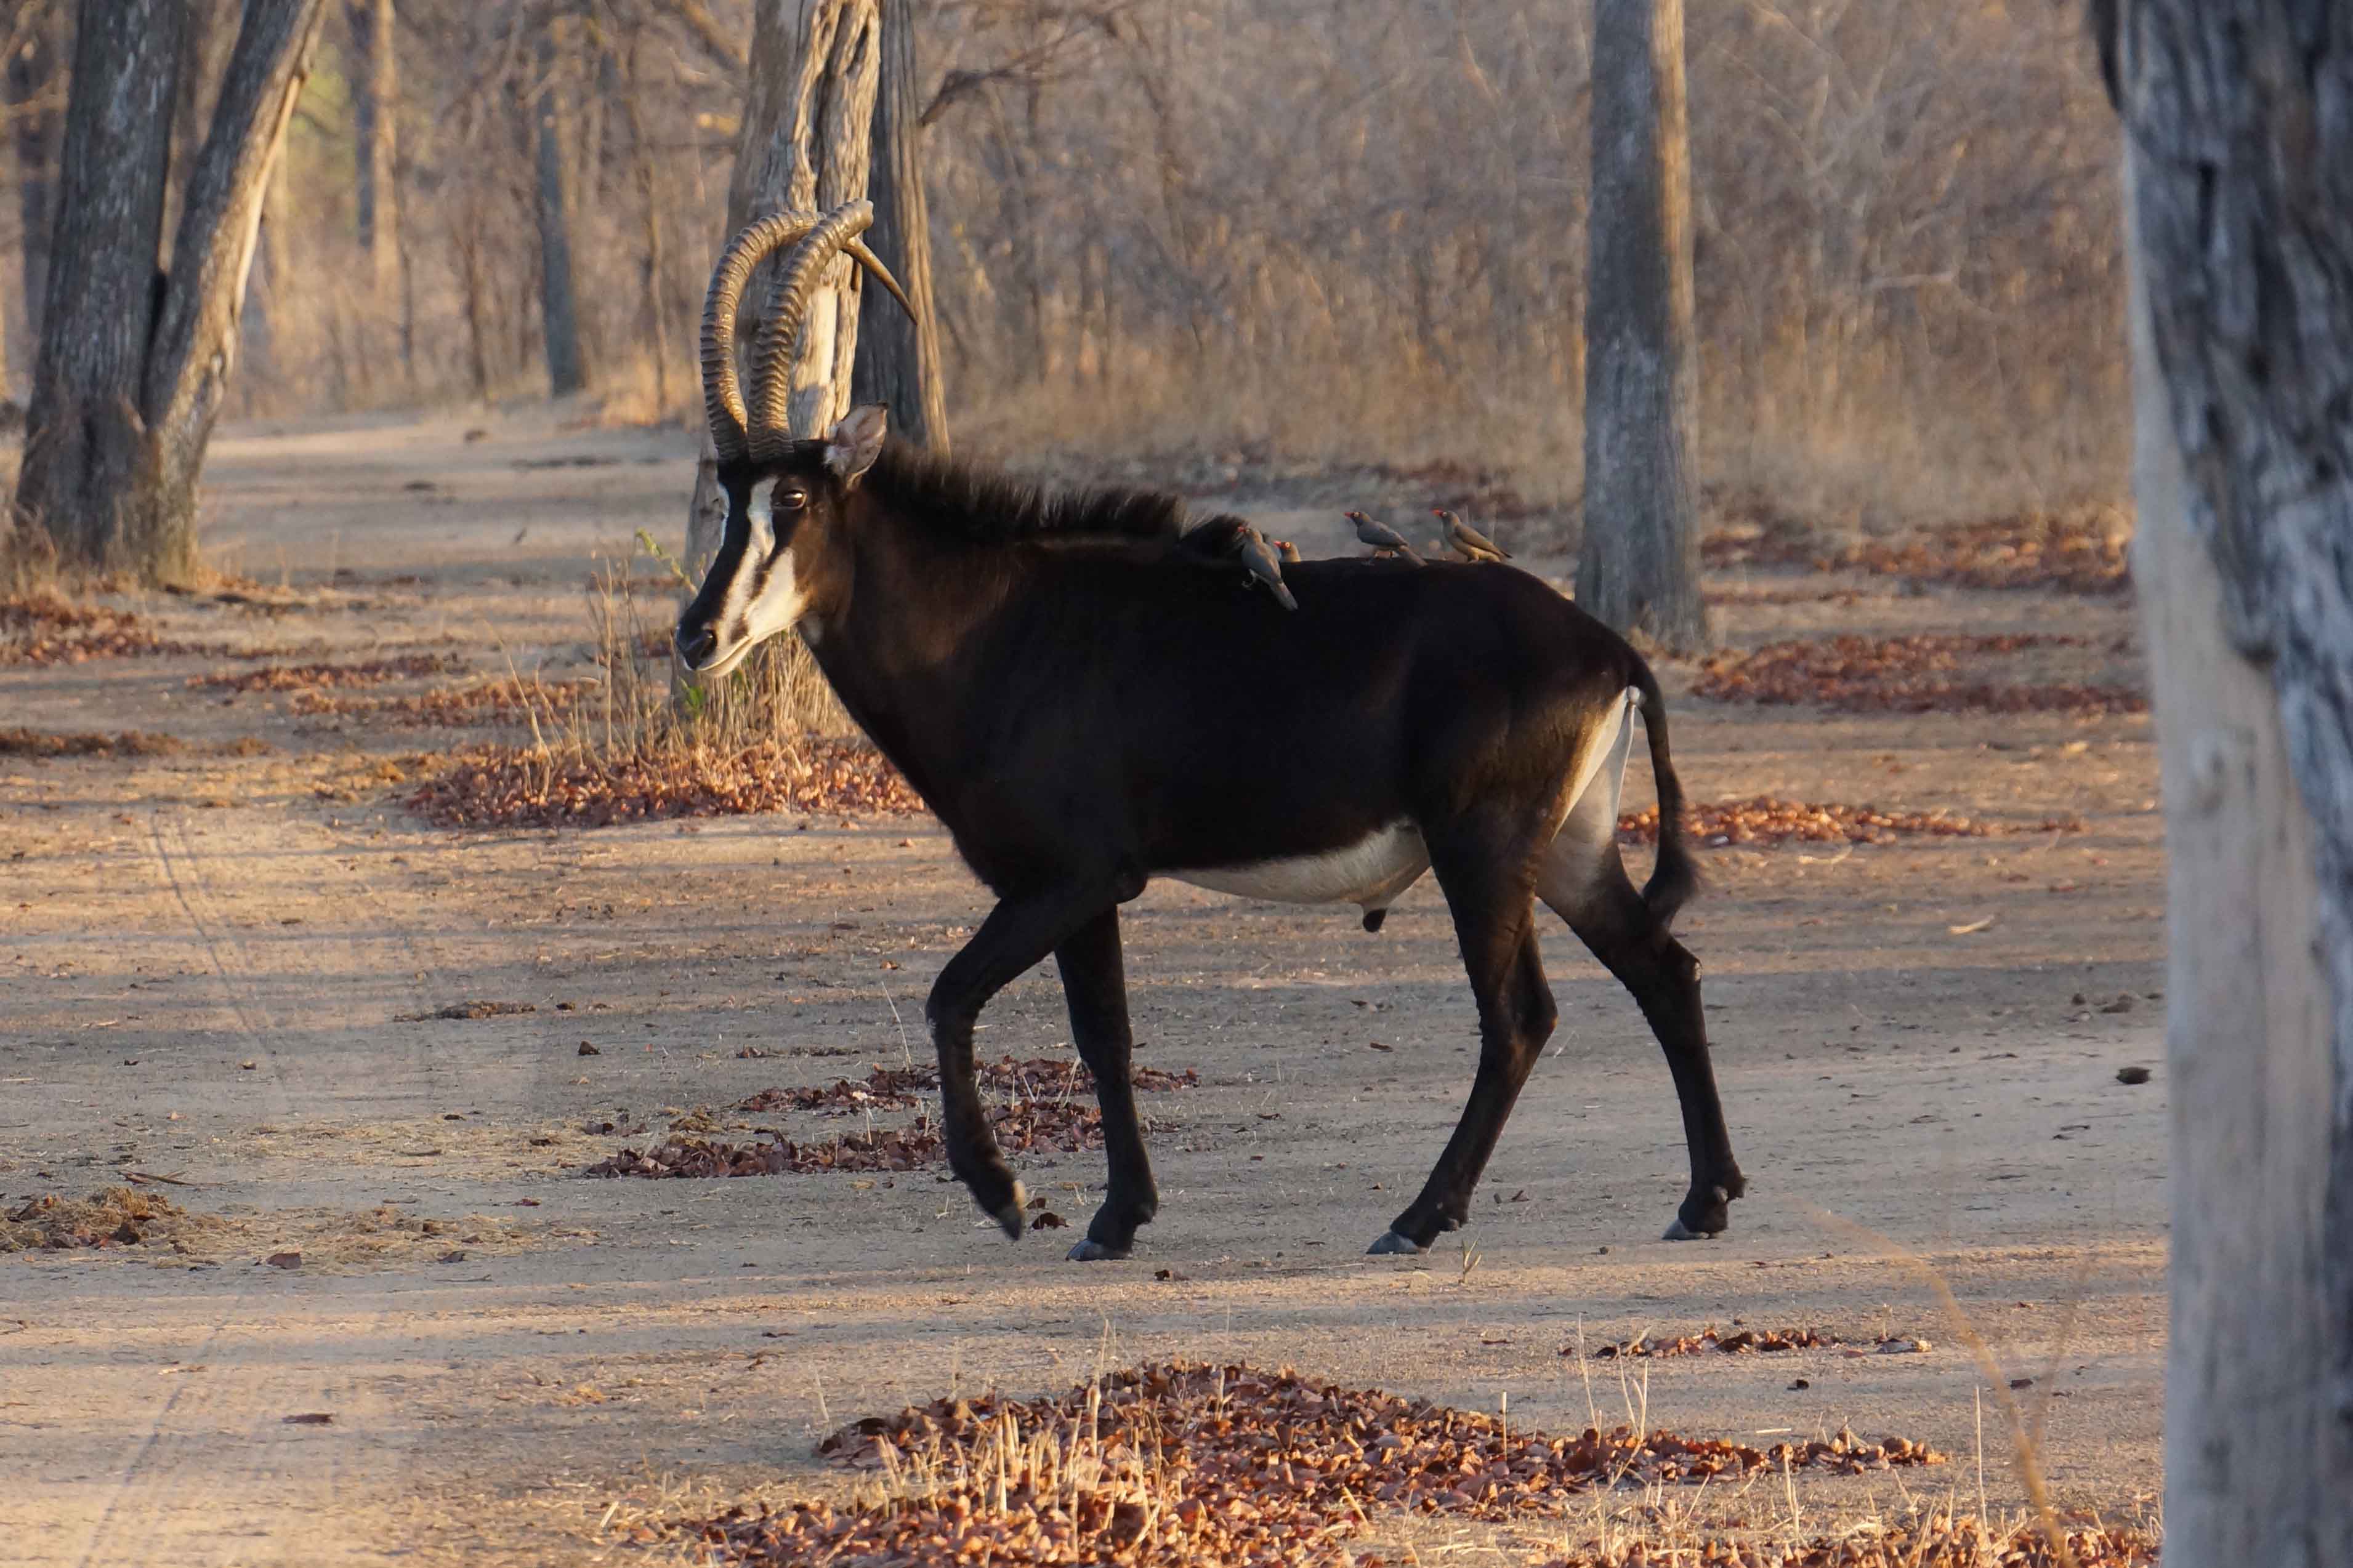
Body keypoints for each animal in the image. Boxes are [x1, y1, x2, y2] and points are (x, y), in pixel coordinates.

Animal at [672, 206, 1741, 1260]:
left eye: (793, 499)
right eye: (725, 497)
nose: (697, 636)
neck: (996, 623)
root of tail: (1610, 649)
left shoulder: (1071, 875)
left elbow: (953, 996)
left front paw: (1008, 1194)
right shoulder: (1078, 890)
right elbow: (1104, 1035)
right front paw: (1118, 1216)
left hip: (1482, 849)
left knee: (1520, 1016)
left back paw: (1419, 1216)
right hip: (1566, 849)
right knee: (1665, 971)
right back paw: (1704, 1197)